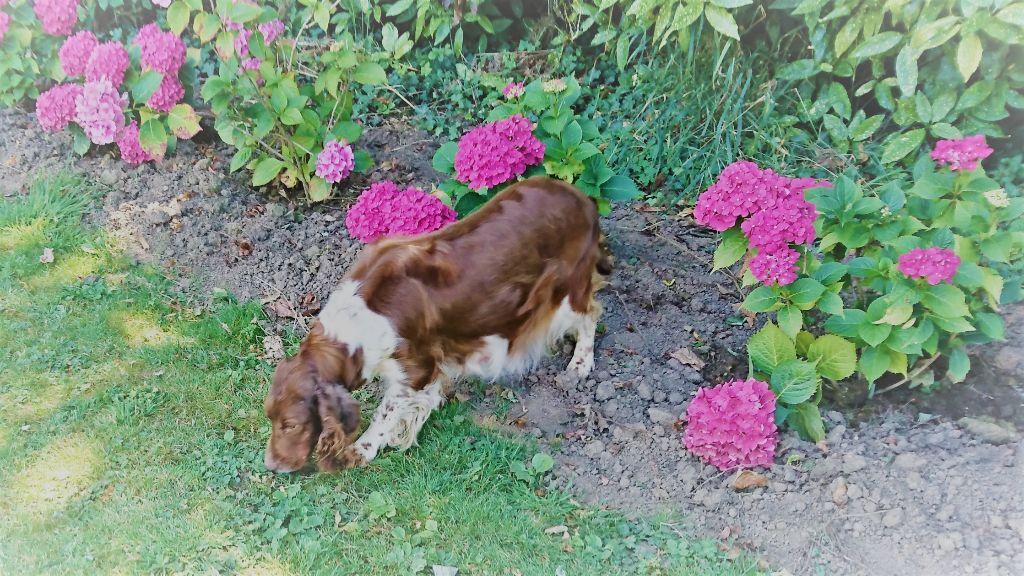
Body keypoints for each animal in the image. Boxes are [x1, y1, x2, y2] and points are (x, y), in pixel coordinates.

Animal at [264, 176, 610, 471]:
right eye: (270, 417)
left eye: (292, 425)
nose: (272, 466)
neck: (357, 322)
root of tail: (585, 200)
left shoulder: (415, 369)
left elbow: (385, 414)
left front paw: (362, 449)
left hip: (564, 296)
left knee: (591, 312)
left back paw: (581, 363)